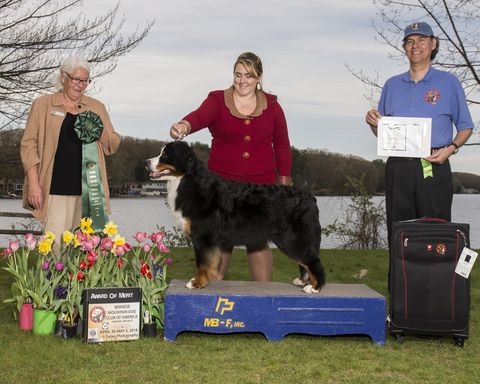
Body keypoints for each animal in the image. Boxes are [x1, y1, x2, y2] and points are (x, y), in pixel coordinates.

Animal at [144, 142, 324, 294]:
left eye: (166, 155)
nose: (146, 162)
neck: (188, 181)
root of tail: (310, 197)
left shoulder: (203, 236)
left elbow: (202, 262)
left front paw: (197, 282)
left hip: (292, 238)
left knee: (313, 260)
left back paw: (314, 287)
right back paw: (303, 281)